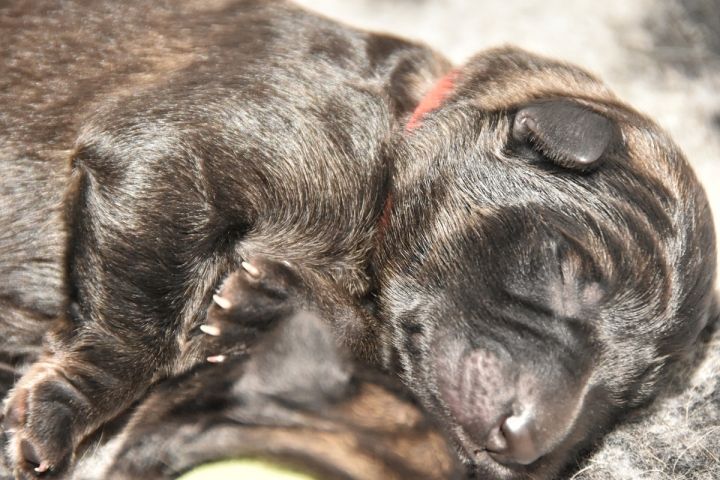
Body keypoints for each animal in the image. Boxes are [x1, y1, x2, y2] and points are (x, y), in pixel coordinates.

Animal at [1, 0, 716, 479]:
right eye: (568, 266)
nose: (525, 446)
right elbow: (139, 325)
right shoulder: (173, 152)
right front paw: (67, 406)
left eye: (628, 399)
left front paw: (280, 311)